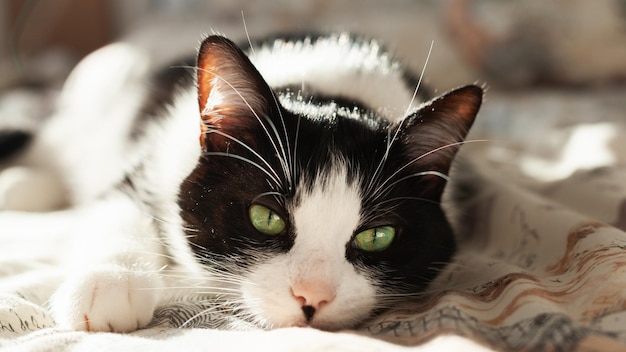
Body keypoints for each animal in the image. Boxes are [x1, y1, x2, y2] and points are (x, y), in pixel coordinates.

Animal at [7, 33, 480, 332]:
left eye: (377, 236)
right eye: (265, 218)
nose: (311, 297)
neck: (322, 93)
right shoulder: (152, 159)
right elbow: (117, 205)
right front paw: (107, 286)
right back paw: (20, 184)